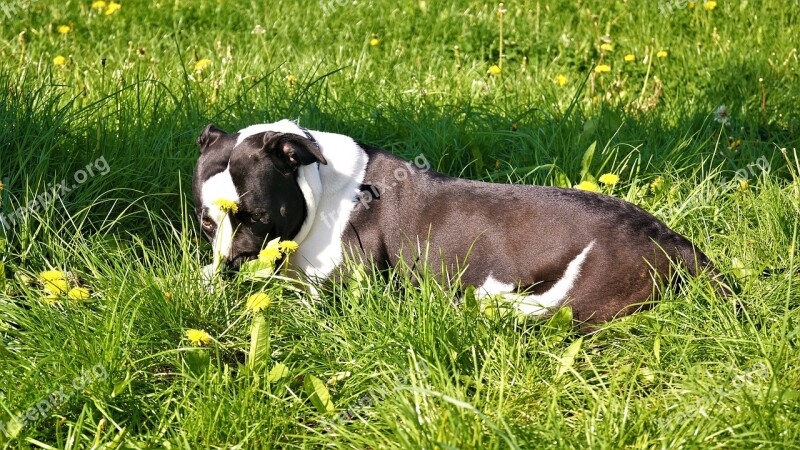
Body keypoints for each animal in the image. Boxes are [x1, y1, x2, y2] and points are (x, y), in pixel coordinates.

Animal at [194, 119, 732, 324]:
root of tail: (674, 241)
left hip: (567, 299)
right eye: (206, 225)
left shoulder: (339, 288)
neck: (320, 186)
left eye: (260, 216)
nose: (231, 265)